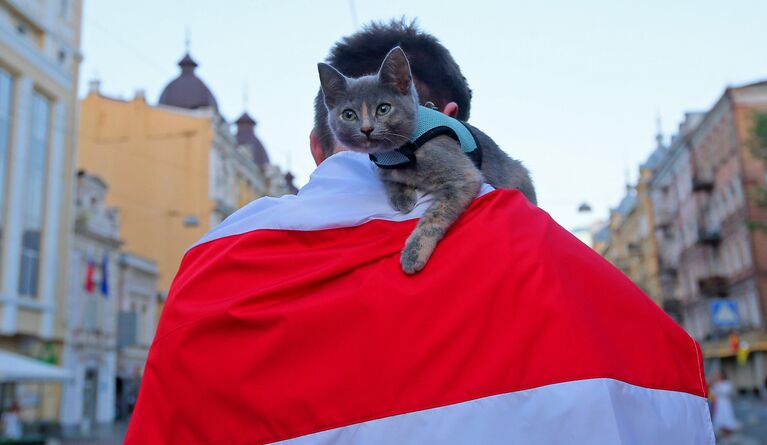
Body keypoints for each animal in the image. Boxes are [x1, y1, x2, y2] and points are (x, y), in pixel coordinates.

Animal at [318, 46, 536, 272]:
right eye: (349, 115)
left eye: (383, 109)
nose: (367, 129)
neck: (397, 153)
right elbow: (391, 180)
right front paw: (402, 198)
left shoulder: (463, 176)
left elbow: (434, 216)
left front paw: (413, 254)